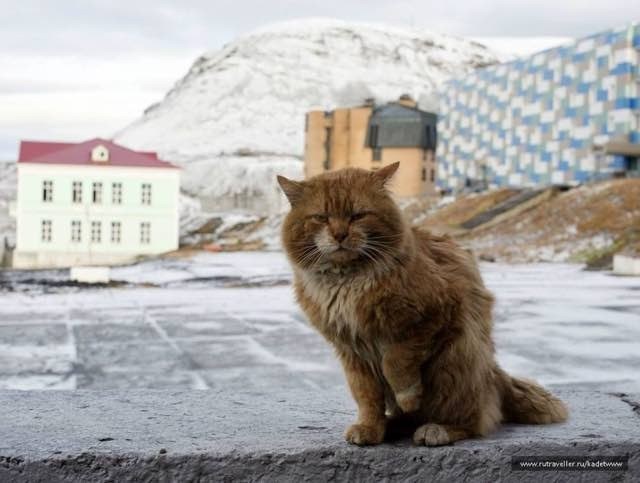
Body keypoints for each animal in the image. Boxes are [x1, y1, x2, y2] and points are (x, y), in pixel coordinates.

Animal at [278, 163, 568, 446]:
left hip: (454, 362)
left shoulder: (430, 319)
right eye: (321, 217)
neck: (348, 281)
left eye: (358, 215)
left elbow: (395, 363)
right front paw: (370, 428)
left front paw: (408, 396)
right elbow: (368, 399)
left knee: (475, 420)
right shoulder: (352, 353)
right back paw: (393, 426)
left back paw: (437, 430)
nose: (339, 234)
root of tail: (494, 371)